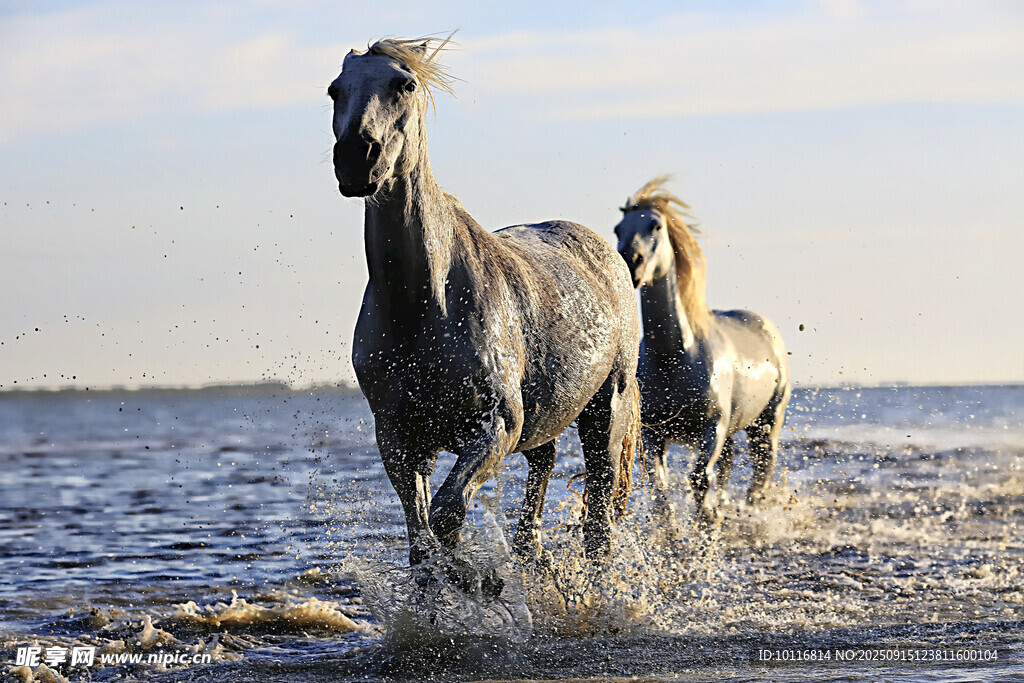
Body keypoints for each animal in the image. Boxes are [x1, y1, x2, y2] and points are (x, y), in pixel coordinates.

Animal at [328, 36, 641, 577]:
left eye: (404, 84)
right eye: (334, 90)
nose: (356, 157)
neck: (423, 306)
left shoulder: (495, 426)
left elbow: (448, 514)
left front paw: (475, 582)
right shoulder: (400, 439)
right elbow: (422, 540)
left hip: (607, 409)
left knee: (599, 523)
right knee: (542, 474)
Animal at [613, 177, 790, 527]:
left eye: (655, 225)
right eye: (618, 229)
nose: (630, 261)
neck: (674, 358)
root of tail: (767, 328)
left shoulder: (712, 428)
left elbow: (698, 480)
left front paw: (704, 523)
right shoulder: (655, 433)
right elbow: (660, 487)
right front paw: (673, 533)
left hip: (766, 423)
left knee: (761, 470)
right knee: (728, 465)